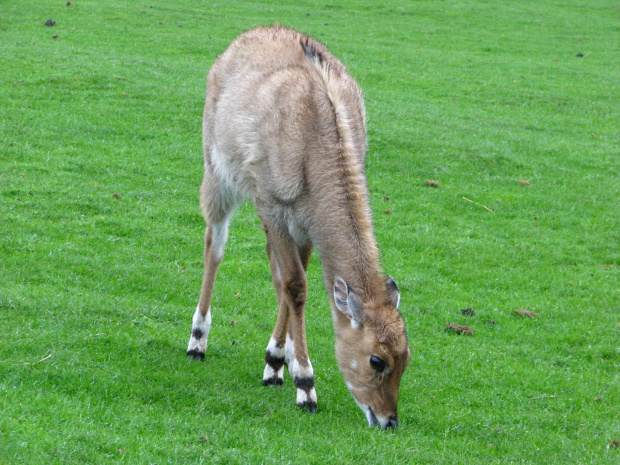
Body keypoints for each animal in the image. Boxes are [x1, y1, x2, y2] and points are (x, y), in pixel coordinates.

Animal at [188, 26, 412, 428]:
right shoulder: (273, 205)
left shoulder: (305, 225)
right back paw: (197, 340)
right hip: (217, 173)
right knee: (215, 243)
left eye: (406, 357)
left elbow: (291, 282)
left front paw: (278, 362)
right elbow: (295, 285)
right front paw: (306, 386)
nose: (388, 420)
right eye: (376, 359)